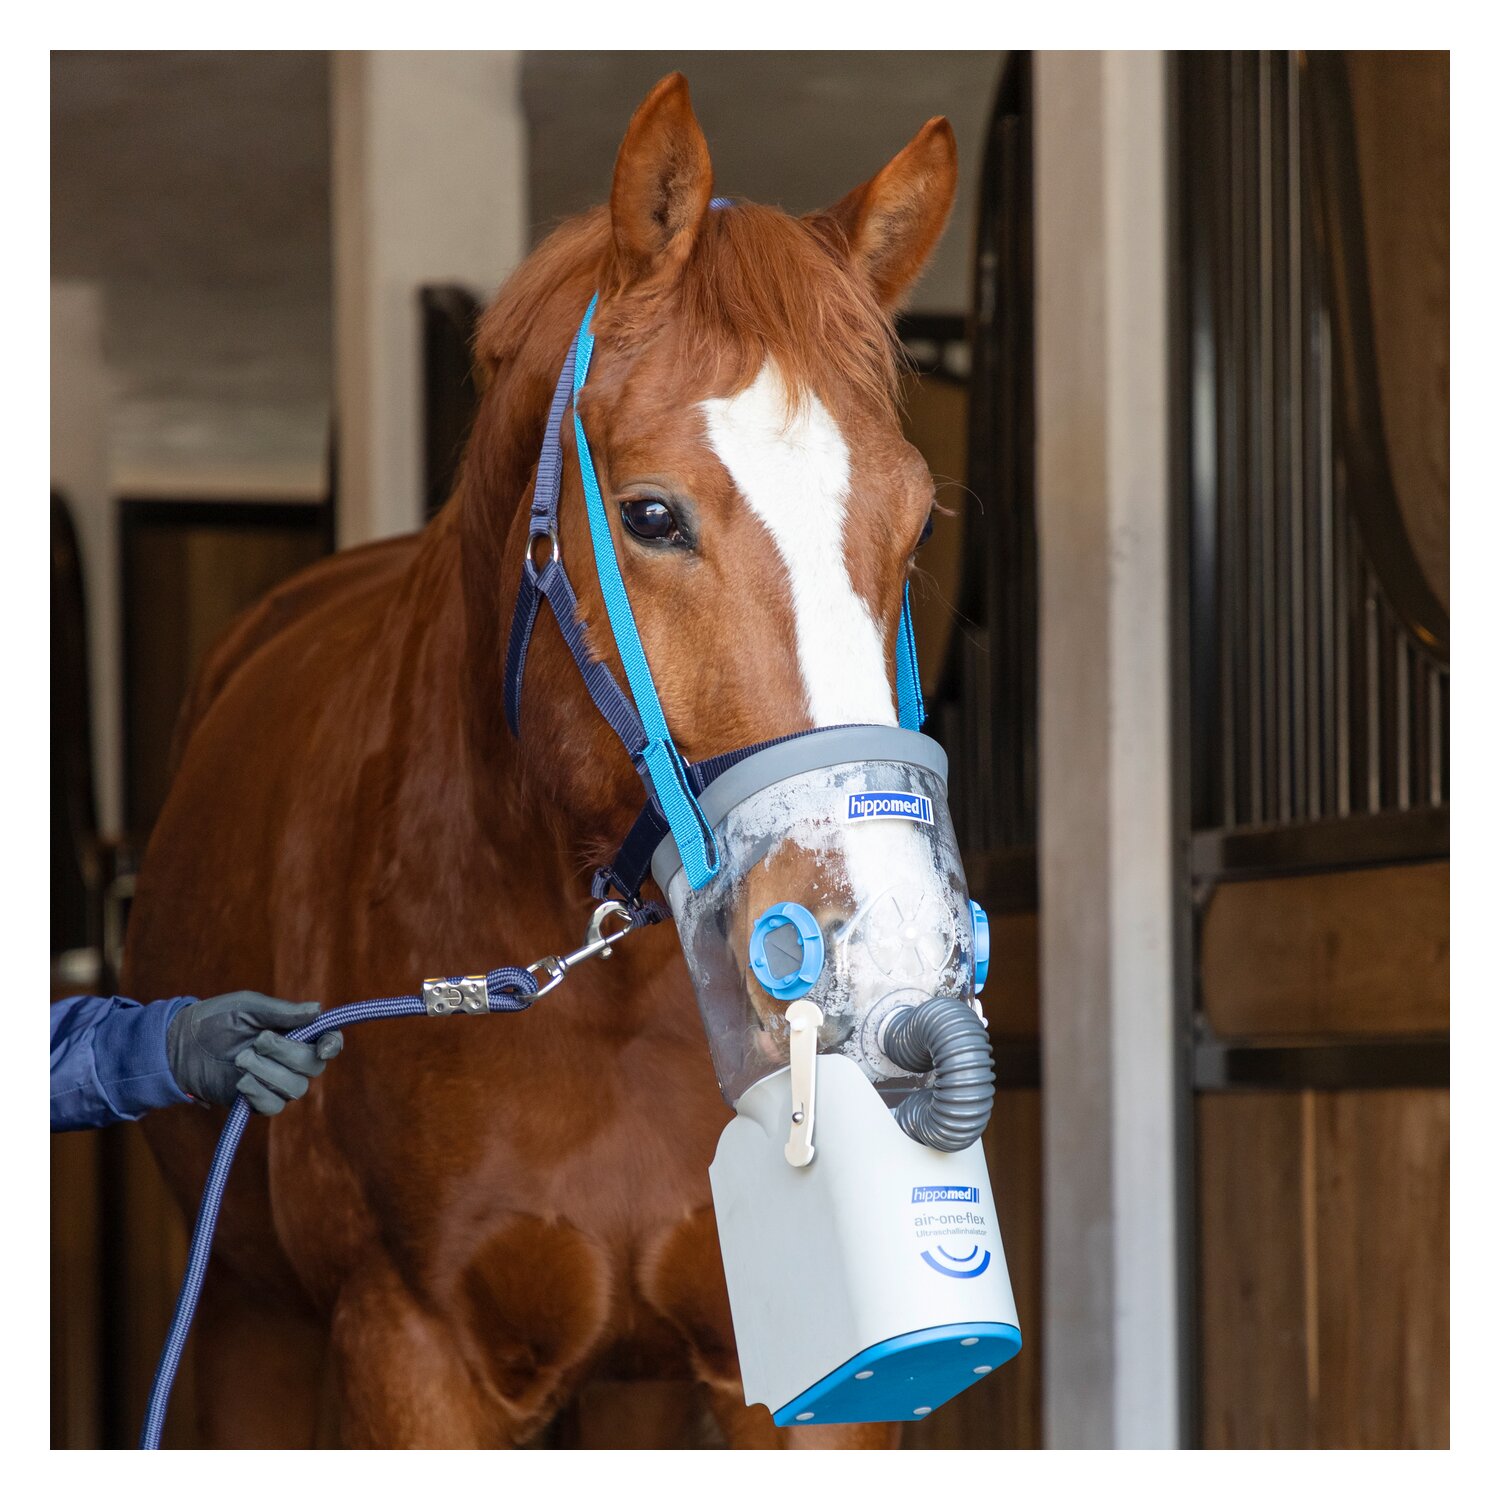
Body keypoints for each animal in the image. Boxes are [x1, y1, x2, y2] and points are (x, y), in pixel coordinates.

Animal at [124, 72, 959, 1448]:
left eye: (918, 524)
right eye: (652, 515)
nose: (877, 934)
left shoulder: (798, 1382)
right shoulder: (410, 1350)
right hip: (243, 1316)